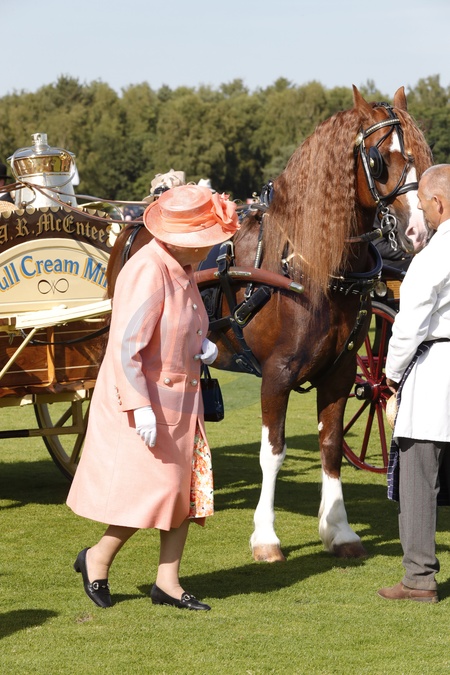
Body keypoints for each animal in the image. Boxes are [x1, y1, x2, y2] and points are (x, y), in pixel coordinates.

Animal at [106, 86, 432, 562]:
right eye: (379, 160)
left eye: (422, 156)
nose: (418, 233)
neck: (310, 267)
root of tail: (138, 222)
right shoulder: (277, 374)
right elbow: (272, 451)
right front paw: (265, 537)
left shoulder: (339, 371)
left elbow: (330, 445)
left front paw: (339, 530)